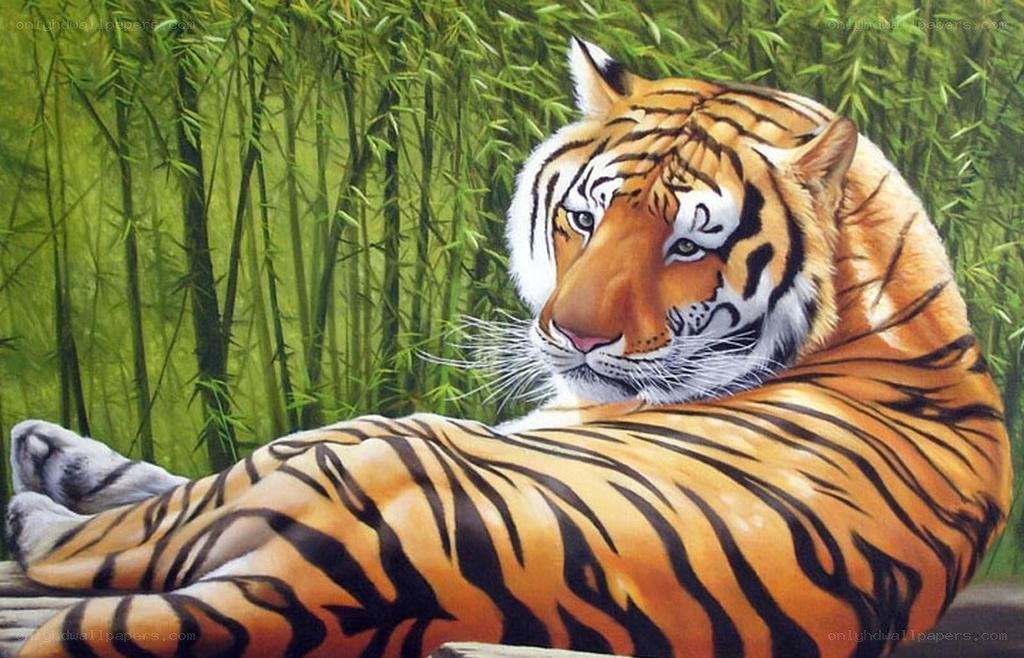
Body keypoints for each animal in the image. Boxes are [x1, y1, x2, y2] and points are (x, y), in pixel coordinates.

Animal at [3, 37, 1012, 658]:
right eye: (584, 219)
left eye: (690, 247)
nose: (574, 333)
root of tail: (353, 592)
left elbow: (162, 498)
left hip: (355, 443)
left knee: (127, 536)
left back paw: (35, 502)